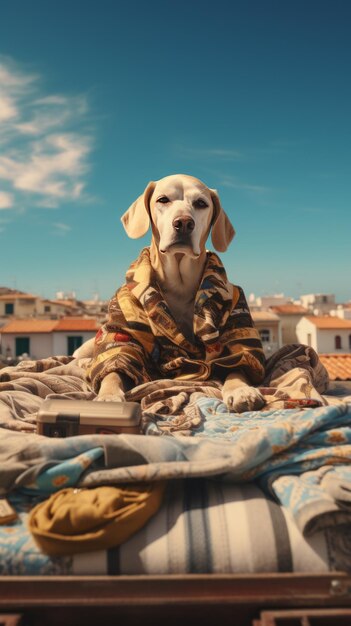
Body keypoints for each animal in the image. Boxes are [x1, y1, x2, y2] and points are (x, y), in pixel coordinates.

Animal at [86, 173, 266, 412]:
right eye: (163, 199)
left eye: (201, 203)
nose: (184, 222)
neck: (180, 283)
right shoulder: (124, 324)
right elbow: (114, 366)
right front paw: (108, 396)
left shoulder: (236, 314)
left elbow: (238, 363)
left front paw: (240, 390)